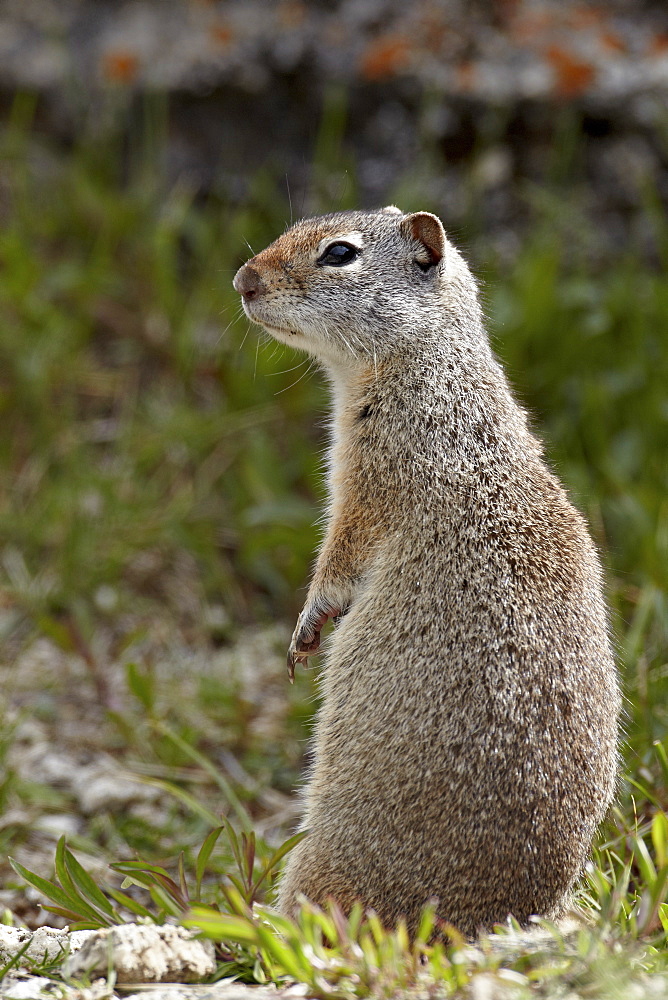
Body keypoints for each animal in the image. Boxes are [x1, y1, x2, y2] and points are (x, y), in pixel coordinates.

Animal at [235, 205, 620, 936]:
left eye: (339, 253)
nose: (243, 280)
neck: (429, 360)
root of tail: (498, 922)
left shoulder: (369, 485)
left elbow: (338, 560)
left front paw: (307, 629)